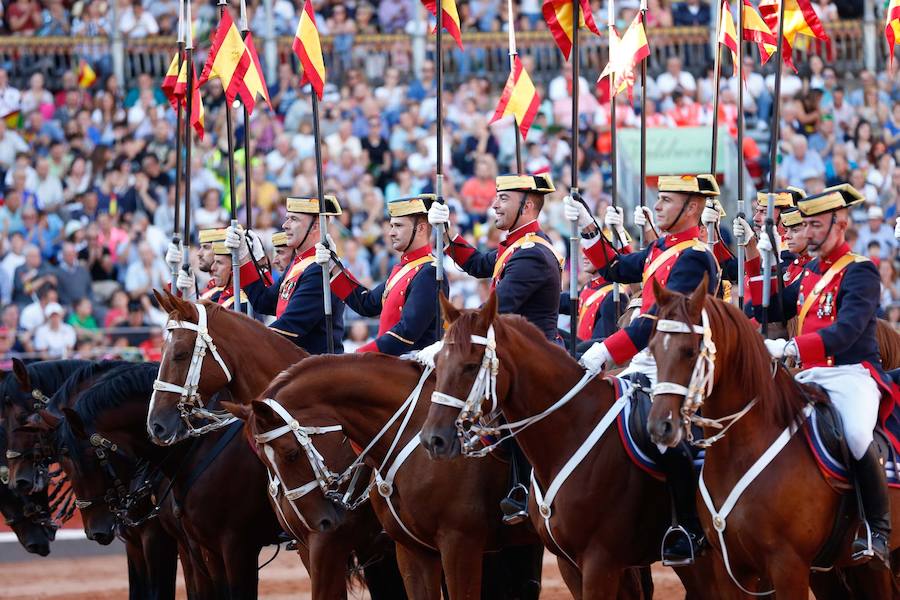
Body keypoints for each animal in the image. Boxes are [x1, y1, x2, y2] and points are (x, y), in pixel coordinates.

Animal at [418, 294, 740, 600]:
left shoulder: (601, 561)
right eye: (439, 362)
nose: (433, 439)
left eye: (471, 366)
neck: (571, 430)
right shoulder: (570, 564)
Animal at [644, 278, 896, 596]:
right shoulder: (731, 570)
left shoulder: (789, 567)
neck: (740, 449)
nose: (659, 427)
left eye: (689, 351)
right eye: (653, 348)